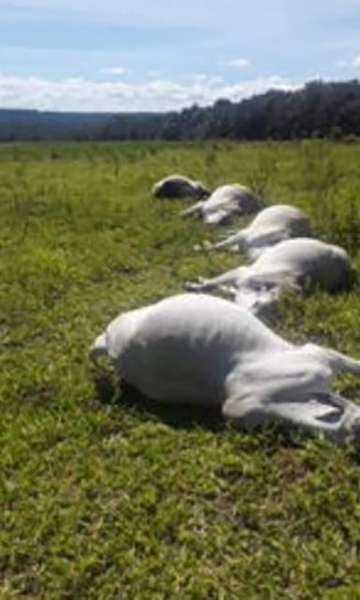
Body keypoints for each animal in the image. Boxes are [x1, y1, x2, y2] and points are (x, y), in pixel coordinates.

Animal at [187, 238, 350, 318]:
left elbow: (218, 284)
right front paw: (197, 284)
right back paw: (203, 247)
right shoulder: (243, 273)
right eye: (256, 303)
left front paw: (198, 284)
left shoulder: (243, 276)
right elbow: (216, 282)